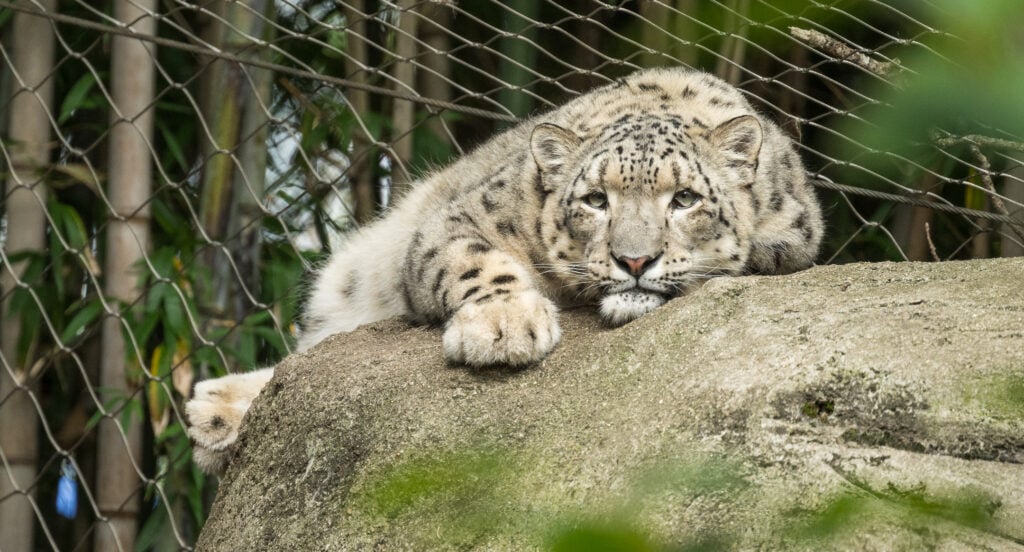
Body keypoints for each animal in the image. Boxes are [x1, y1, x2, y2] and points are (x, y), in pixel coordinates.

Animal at [186, 64, 823, 471]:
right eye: (596, 200)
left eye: (685, 198)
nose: (634, 259)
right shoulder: (455, 220)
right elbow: (474, 262)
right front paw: (504, 327)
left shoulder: (798, 231)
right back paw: (213, 412)